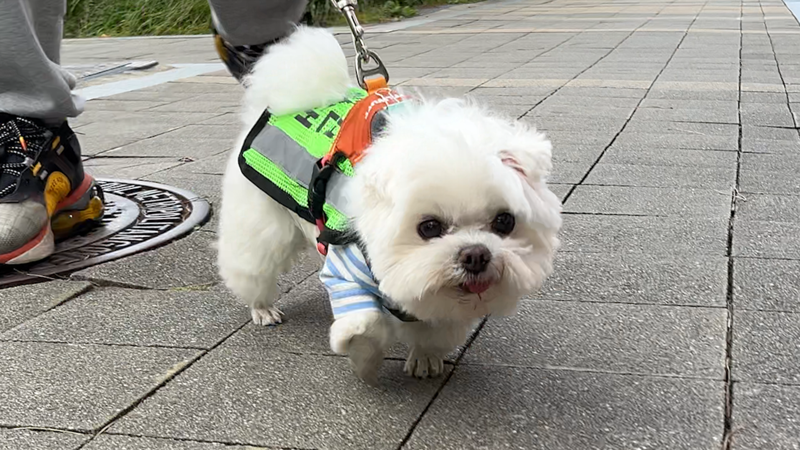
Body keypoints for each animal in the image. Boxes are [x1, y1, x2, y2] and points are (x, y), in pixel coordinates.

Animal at [216, 25, 560, 384]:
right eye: (429, 227)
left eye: (505, 222)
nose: (476, 254)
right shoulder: (346, 270)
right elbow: (364, 324)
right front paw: (365, 361)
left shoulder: (442, 302)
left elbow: (433, 331)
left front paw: (425, 358)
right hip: (261, 226)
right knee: (251, 266)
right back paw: (262, 308)